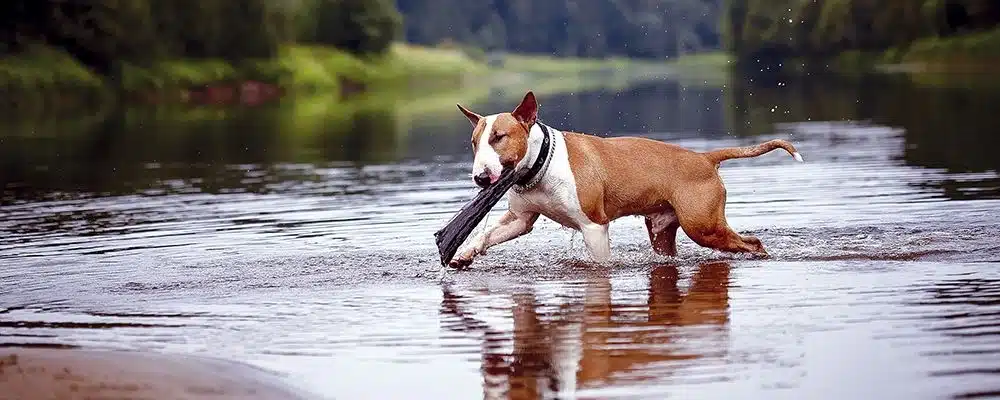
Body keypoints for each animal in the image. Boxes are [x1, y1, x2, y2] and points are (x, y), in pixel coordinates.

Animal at [454, 90, 804, 268]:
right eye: (474, 142)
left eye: (499, 137)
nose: (480, 178)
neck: (541, 165)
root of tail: (705, 158)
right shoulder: (520, 219)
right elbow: (486, 235)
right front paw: (463, 254)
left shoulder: (594, 226)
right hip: (662, 229)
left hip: (703, 226)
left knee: (751, 242)